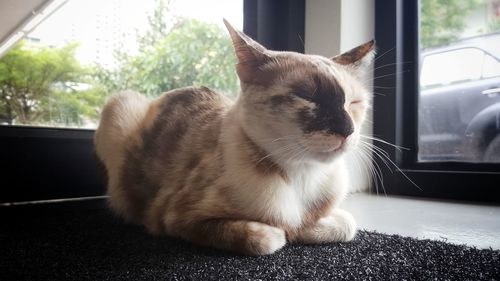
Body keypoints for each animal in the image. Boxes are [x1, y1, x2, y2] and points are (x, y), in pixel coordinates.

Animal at [94, 19, 376, 255]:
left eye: (354, 103)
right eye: (307, 96)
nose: (347, 130)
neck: (302, 176)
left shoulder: (336, 215)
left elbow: (346, 224)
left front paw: (305, 229)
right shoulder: (176, 217)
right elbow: (268, 238)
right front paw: (286, 232)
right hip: (119, 105)